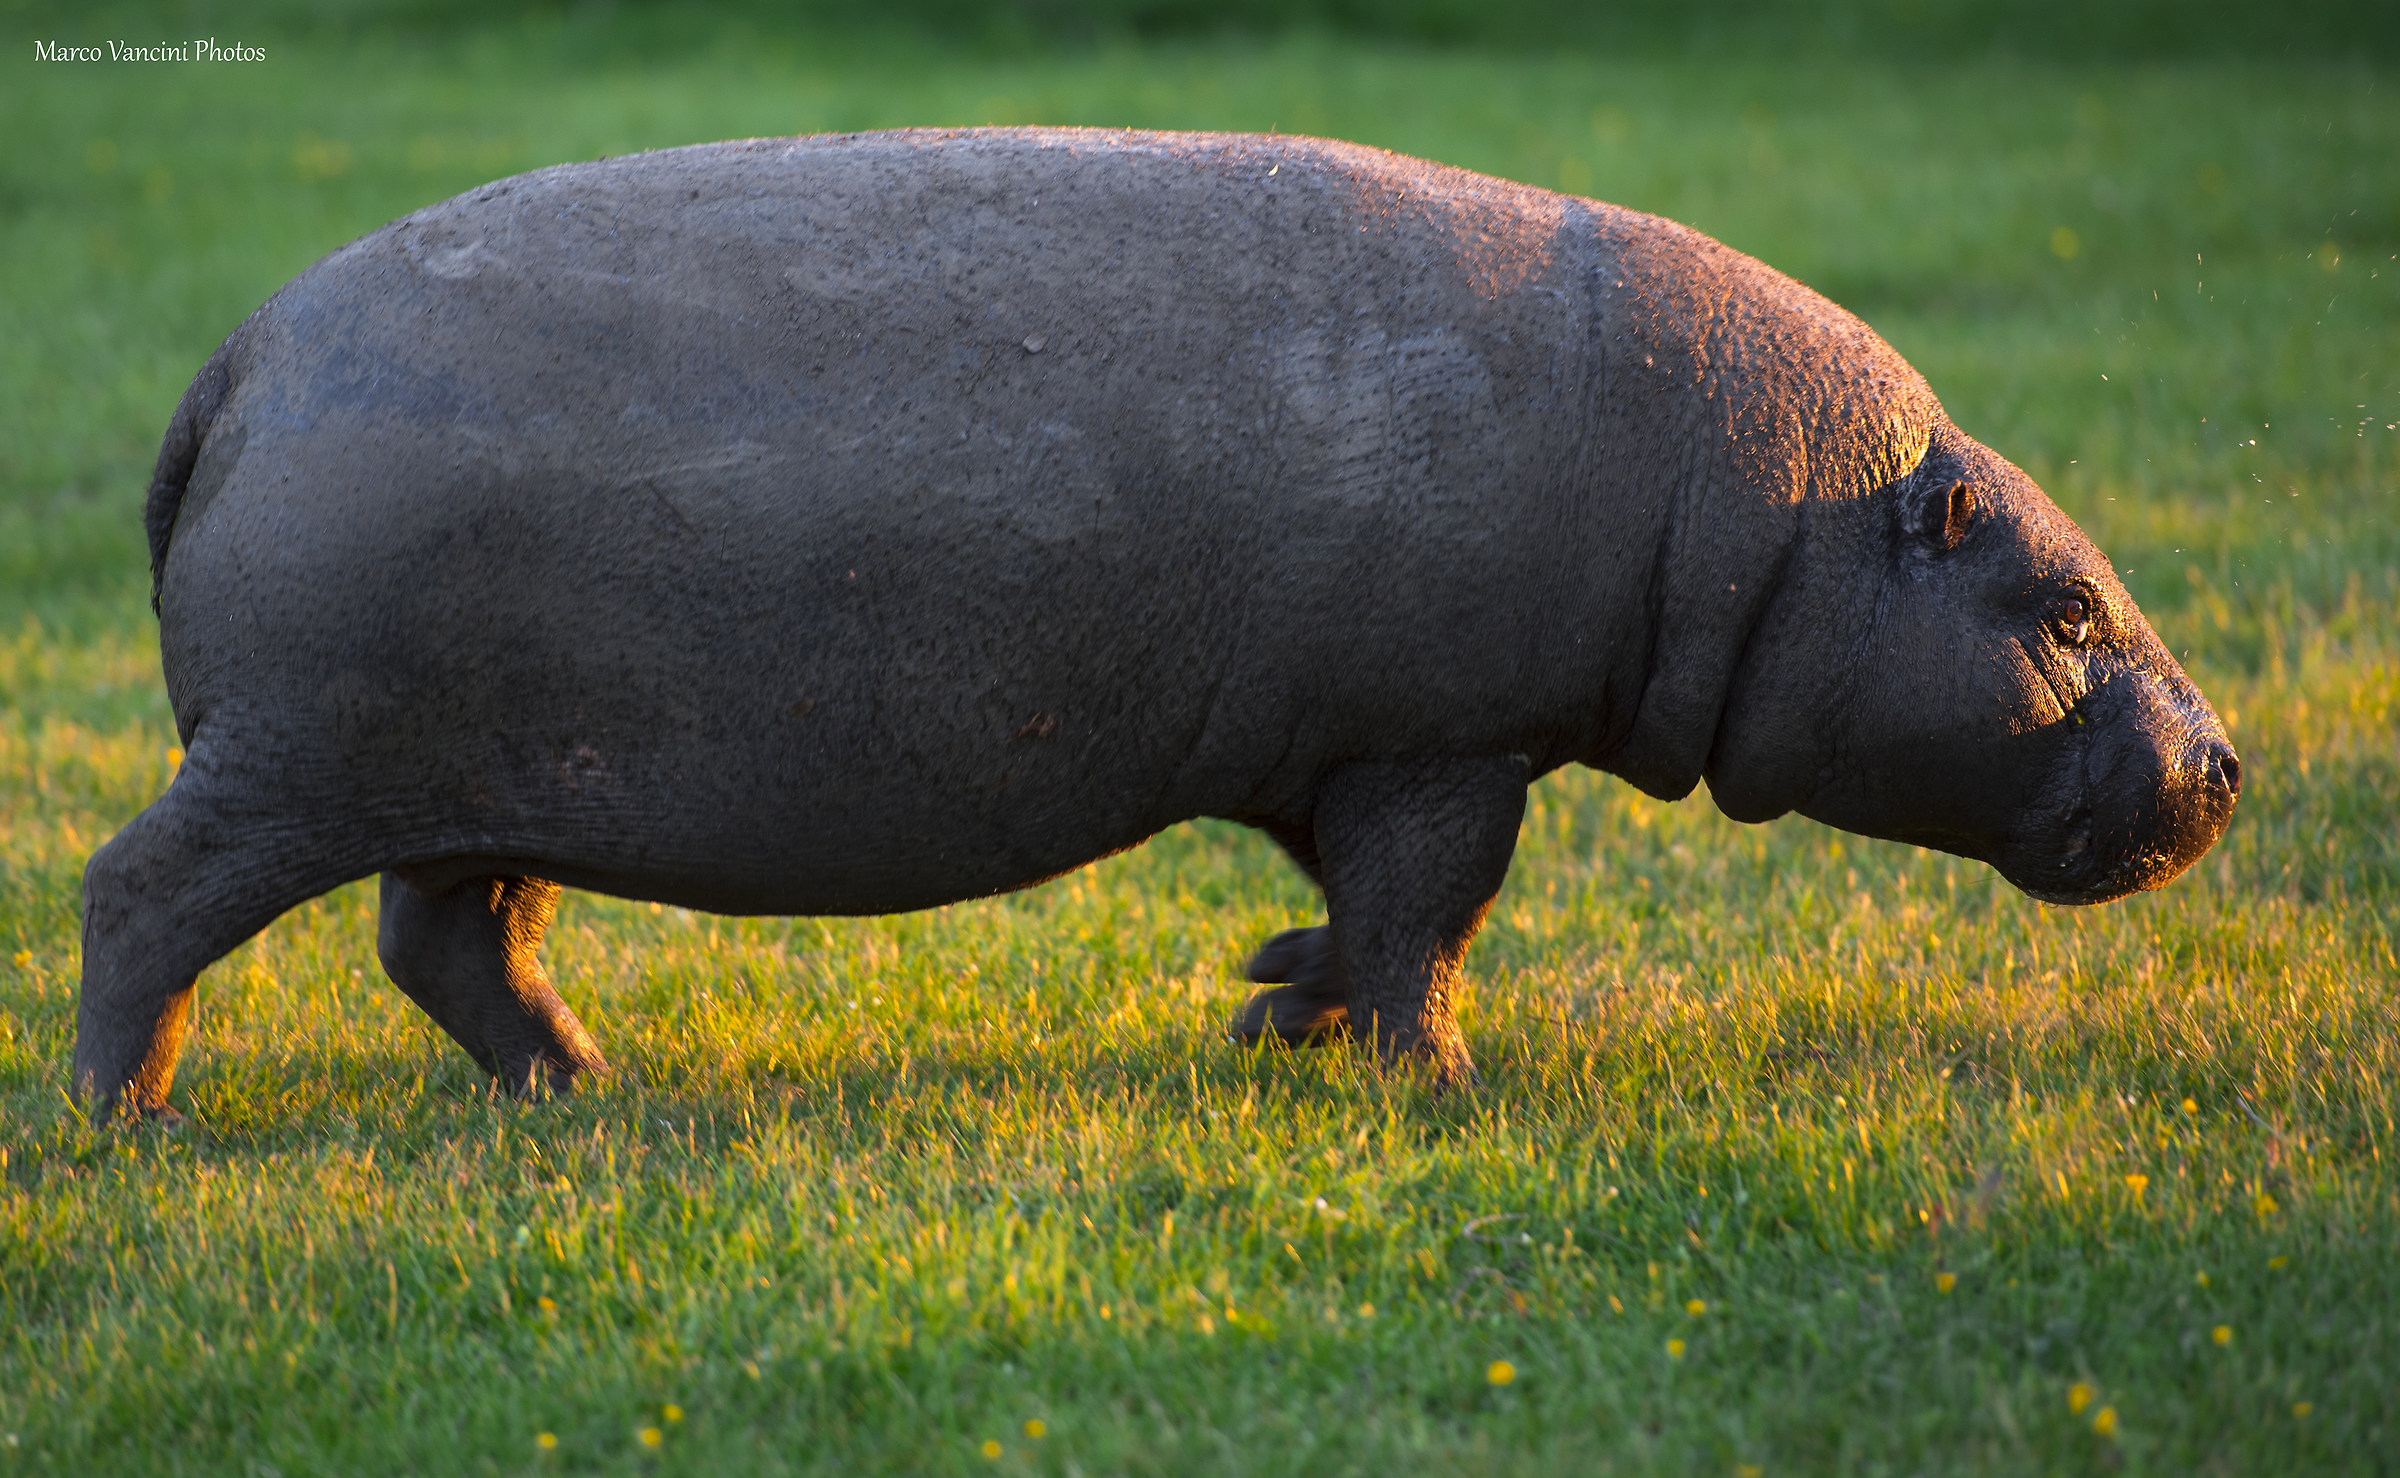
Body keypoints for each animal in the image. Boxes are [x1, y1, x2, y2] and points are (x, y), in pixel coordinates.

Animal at [75, 128, 2238, 1119]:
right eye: (2064, 605)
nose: (2228, 759)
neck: (1790, 523)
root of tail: (241, 354)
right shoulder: (1443, 738)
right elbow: (1430, 911)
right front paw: (1440, 1090)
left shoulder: (1337, 738)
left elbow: (1357, 907)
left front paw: (1277, 1005)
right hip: (302, 756)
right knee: (142, 889)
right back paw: (133, 1120)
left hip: (470, 773)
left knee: (451, 937)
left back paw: (592, 1092)